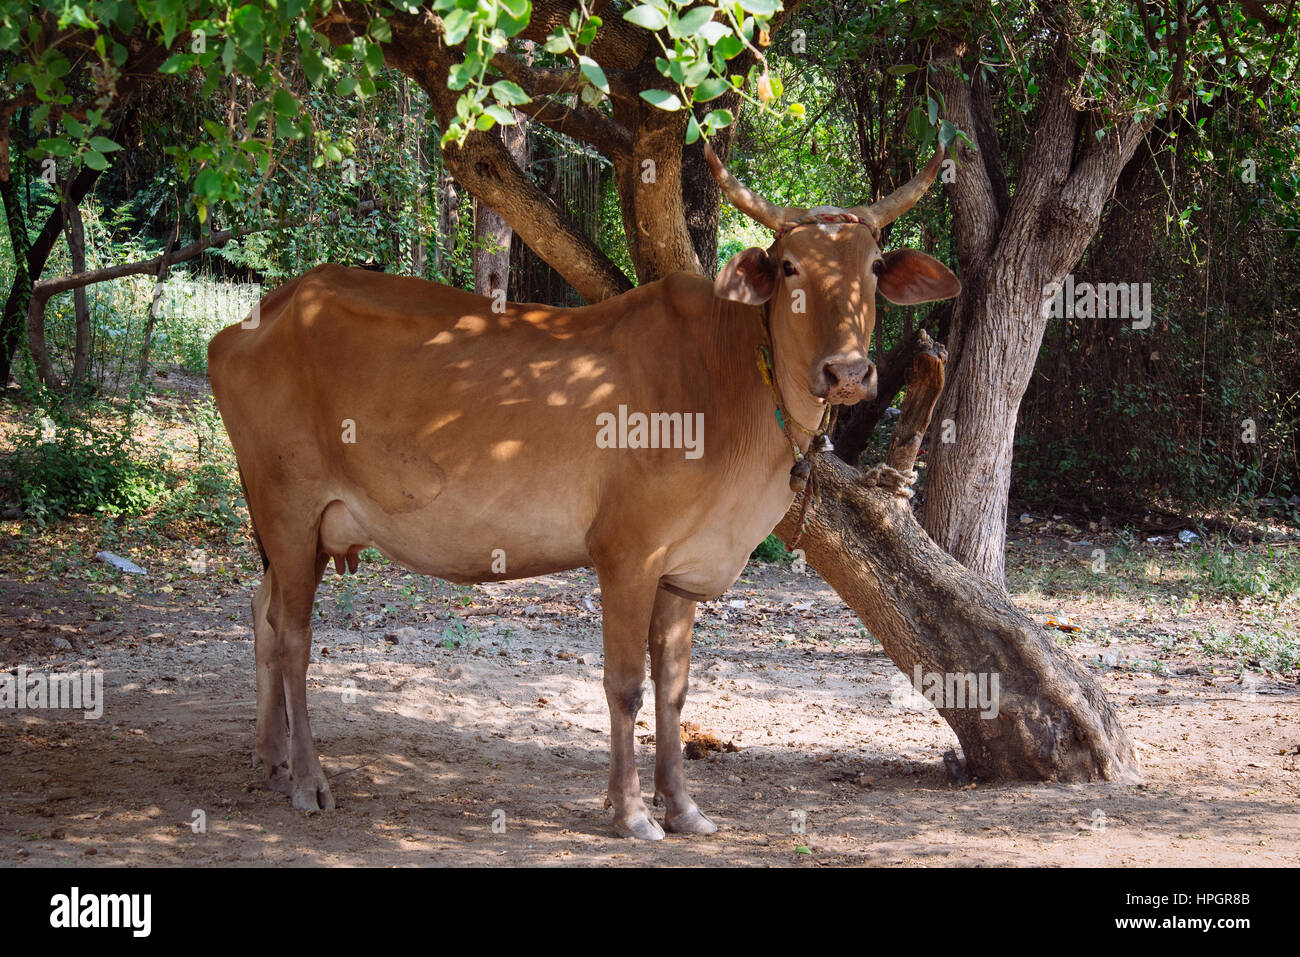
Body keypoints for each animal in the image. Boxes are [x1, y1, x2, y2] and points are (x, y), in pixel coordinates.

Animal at [202, 141, 956, 837]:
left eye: (872, 268)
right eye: (792, 267)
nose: (848, 373)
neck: (734, 382)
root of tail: (263, 310)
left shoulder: (684, 566)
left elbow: (674, 691)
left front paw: (684, 807)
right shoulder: (626, 551)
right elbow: (624, 687)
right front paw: (631, 813)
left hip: (306, 525)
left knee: (264, 612)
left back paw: (269, 761)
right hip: (288, 504)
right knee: (294, 636)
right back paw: (308, 780)